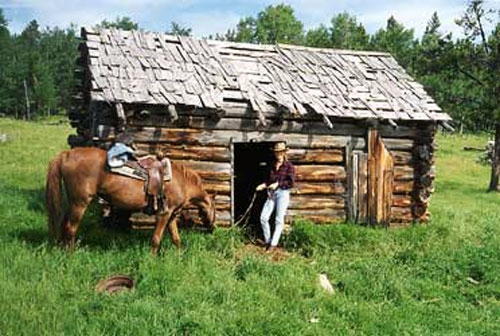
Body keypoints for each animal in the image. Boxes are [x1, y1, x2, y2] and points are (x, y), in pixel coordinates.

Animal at [47, 147, 217, 255]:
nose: (212, 229)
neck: (181, 181)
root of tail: (67, 154)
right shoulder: (164, 213)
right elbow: (156, 239)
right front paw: (152, 259)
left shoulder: (172, 215)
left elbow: (176, 239)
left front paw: (179, 257)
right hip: (80, 203)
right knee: (70, 228)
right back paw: (71, 255)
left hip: (73, 202)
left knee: (63, 224)